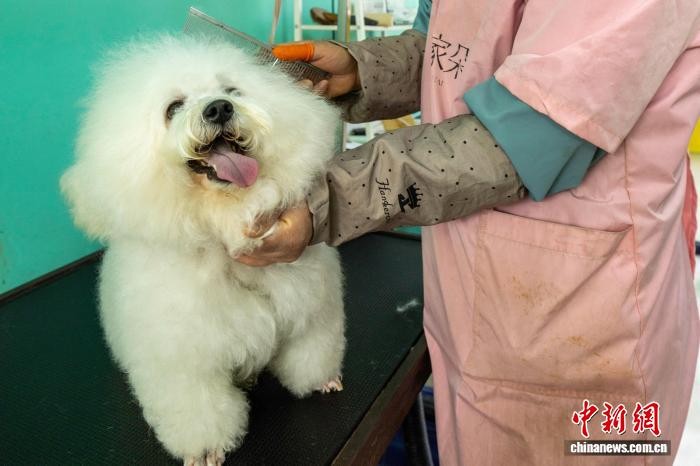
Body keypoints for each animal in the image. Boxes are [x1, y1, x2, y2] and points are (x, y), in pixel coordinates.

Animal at [61, 35, 345, 465]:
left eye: (232, 90)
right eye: (173, 108)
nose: (219, 108)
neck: (223, 220)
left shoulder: (314, 312)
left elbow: (312, 351)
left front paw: (320, 380)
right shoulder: (184, 361)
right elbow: (199, 409)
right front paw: (208, 448)